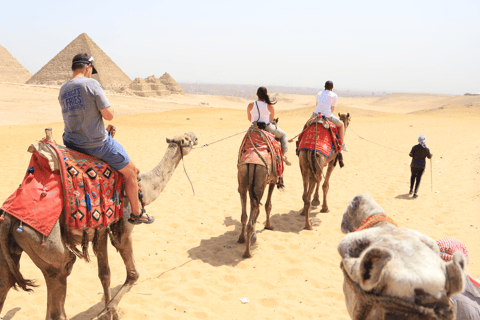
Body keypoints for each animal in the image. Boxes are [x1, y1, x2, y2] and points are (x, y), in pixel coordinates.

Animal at [0, 127, 198, 320]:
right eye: (187, 138)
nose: (195, 137)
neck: (145, 188)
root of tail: (9, 217)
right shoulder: (124, 227)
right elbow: (133, 273)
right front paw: (110, 310)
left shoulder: (100, 231)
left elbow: (105, 274)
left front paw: (110, 313)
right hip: (47, 247)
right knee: (58, 297)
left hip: (10, 251)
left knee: (6, 283)